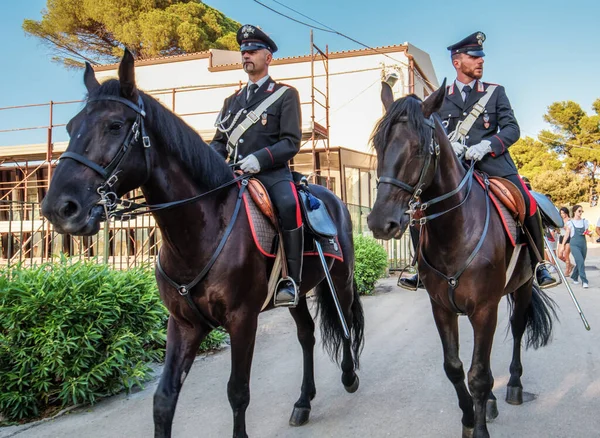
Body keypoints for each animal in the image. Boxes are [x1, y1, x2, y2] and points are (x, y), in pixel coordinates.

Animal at [42, 49, 366, 436]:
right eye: (70, 127)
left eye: (115, 125)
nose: (58, 208)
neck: (199, 231)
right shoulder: (183, 323)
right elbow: (163, 399)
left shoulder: (242, 320)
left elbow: (238, 392)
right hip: (298, 291)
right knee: (307, 334)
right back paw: (303, 402)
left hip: (341, 279)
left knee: (346, 322)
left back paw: (349, 375)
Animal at [368, 80, 560, 436]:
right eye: (378, 145)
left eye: (419, 148)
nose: (379, 222)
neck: (454, 232)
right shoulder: (442, 308)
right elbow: (456, 368)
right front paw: (470, 419)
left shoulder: (484, 309)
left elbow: (480, 376)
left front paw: (480, 427)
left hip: (522, 287)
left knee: (516, 329)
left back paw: (514, 386)